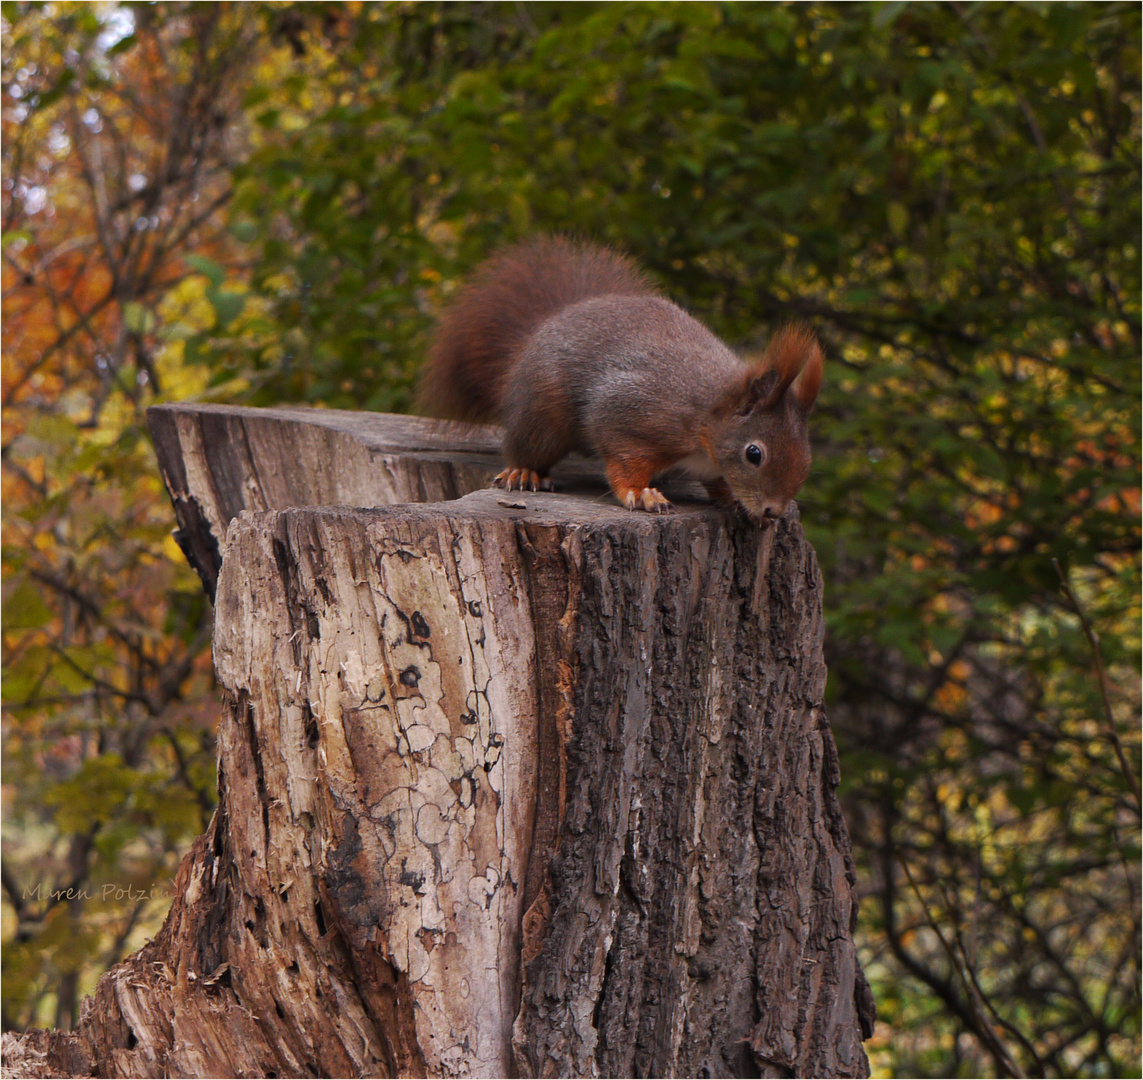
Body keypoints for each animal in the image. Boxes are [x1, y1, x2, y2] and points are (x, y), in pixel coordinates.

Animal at [420, 235, 822, 523]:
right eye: (754, 453)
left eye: (807, 453)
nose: (773, 511)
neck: (707, 418)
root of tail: (544, 327)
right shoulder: (632, 416)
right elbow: (624, 463)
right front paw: (641, 494)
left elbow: (719, 481)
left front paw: (734, 502)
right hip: (542, 414)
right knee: (529, 444)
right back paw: (524, 471)